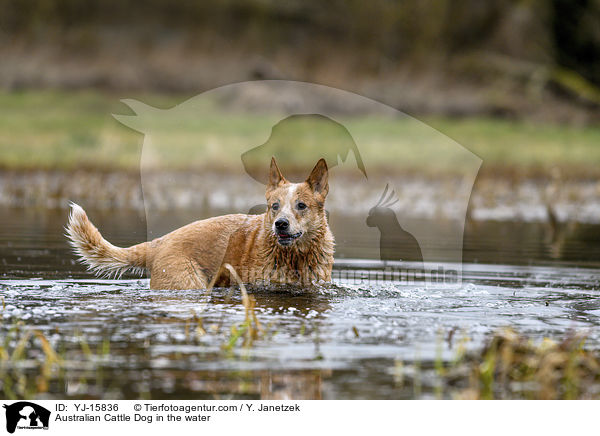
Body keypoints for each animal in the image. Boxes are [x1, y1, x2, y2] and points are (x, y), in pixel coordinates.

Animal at [69, 158, 338, 290]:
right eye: (274, 206)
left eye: (301, 205)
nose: (280, 224)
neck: (296, 257)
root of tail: (159, 242)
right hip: (185, 282)